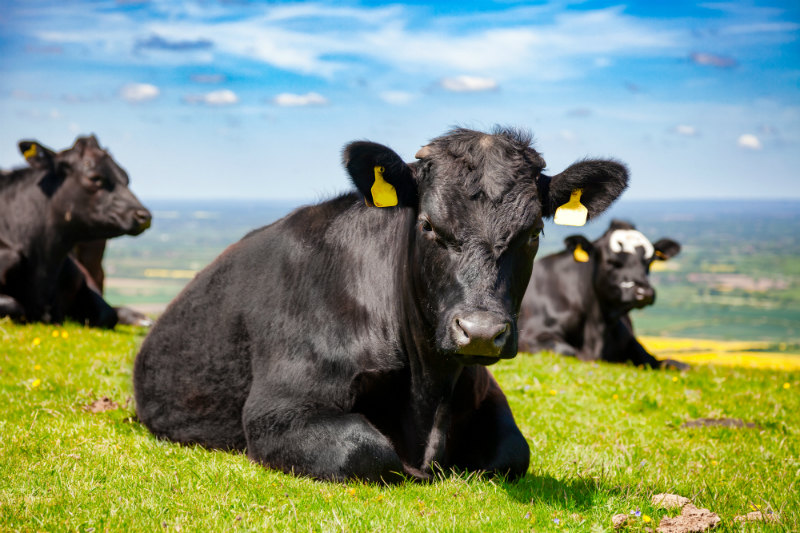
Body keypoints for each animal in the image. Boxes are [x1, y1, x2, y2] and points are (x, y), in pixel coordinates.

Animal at [133, 127, 629, 483]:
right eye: (428, 225)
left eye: (533, 233)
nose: (481, 332)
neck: (428, 398)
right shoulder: (278, 409)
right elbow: (366, 450)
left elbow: (512, 453)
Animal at [517, 220, 688, 370]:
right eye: (611, 261)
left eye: (650, 261)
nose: (644, 292)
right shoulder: (531, 336)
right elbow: (567, 350)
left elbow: (665, 362)